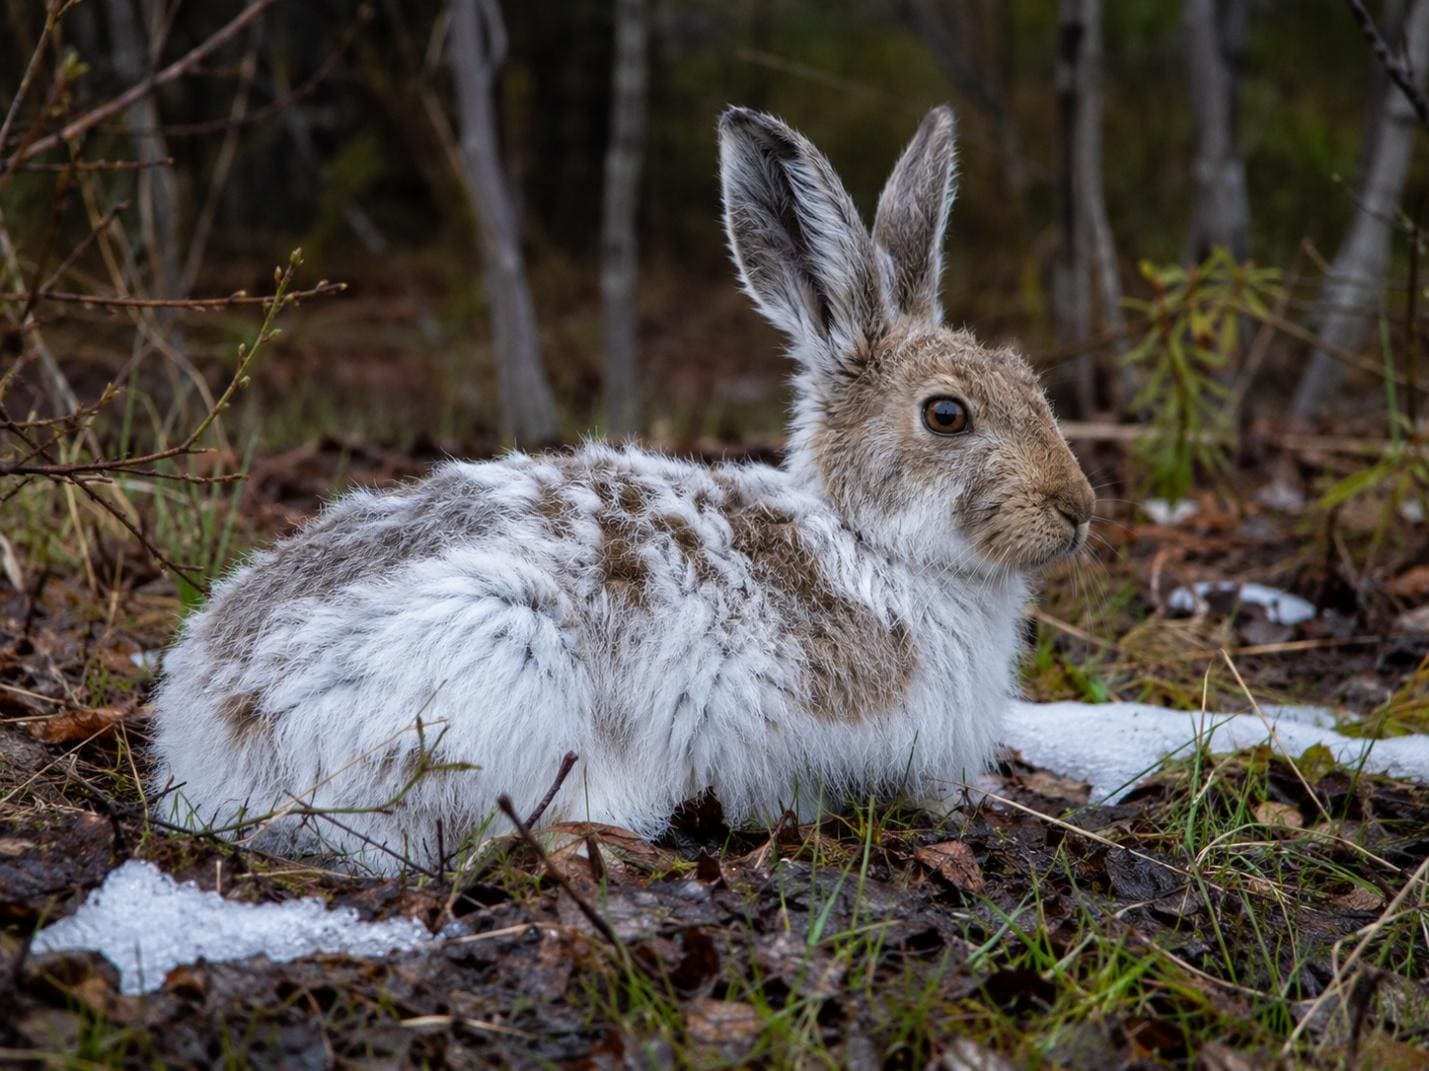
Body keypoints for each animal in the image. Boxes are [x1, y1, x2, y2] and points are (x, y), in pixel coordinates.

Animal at [151, 105, 1095, 872]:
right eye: (946, 415)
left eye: (1027, 378)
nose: (1077, 509)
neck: (869, 538)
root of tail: (208, 729)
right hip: (498, 657)